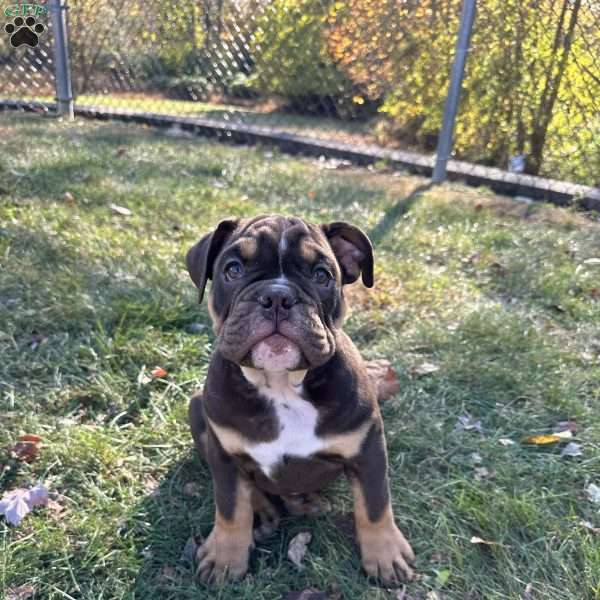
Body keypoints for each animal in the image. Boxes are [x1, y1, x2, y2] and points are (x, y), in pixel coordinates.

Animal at [185, 217, 414, 584]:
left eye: (321, 275)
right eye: (232, 270)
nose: (277, 296)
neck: (281, 385)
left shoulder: (368, 449)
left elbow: (376, 503)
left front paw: (386, 554)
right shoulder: (224, 455)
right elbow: (231, 506)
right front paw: (225, 557)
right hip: (196, 410)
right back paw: (263, 511)